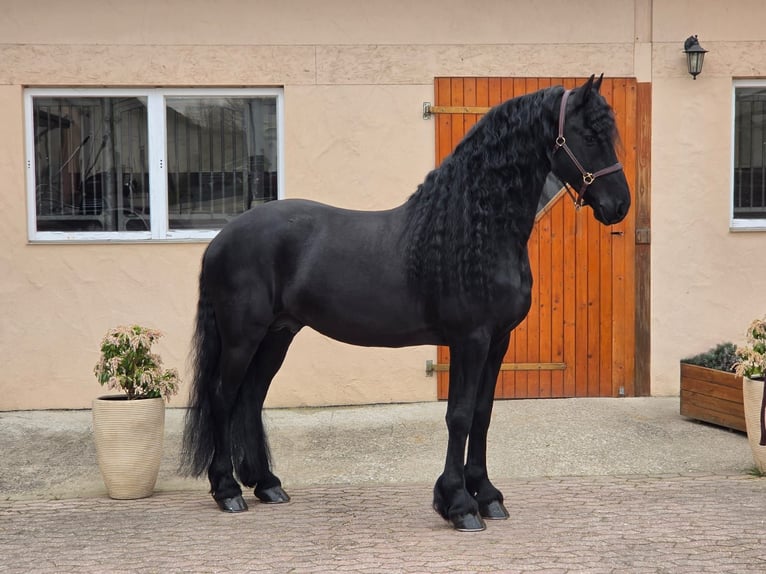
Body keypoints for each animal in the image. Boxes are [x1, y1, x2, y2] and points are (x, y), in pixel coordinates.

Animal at [181, 75, 630, 532]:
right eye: (589, 135)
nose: (620, 206)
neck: (475, 233)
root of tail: (221, 239)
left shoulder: (498, 342)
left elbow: (483, 415)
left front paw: (486, 495)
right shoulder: (470, 341)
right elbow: (459, 415)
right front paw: (459, 504)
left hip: (277, 335)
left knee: (251, 398)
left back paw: (267, 484)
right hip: (243, 336)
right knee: (223, 396)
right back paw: (228, 490)